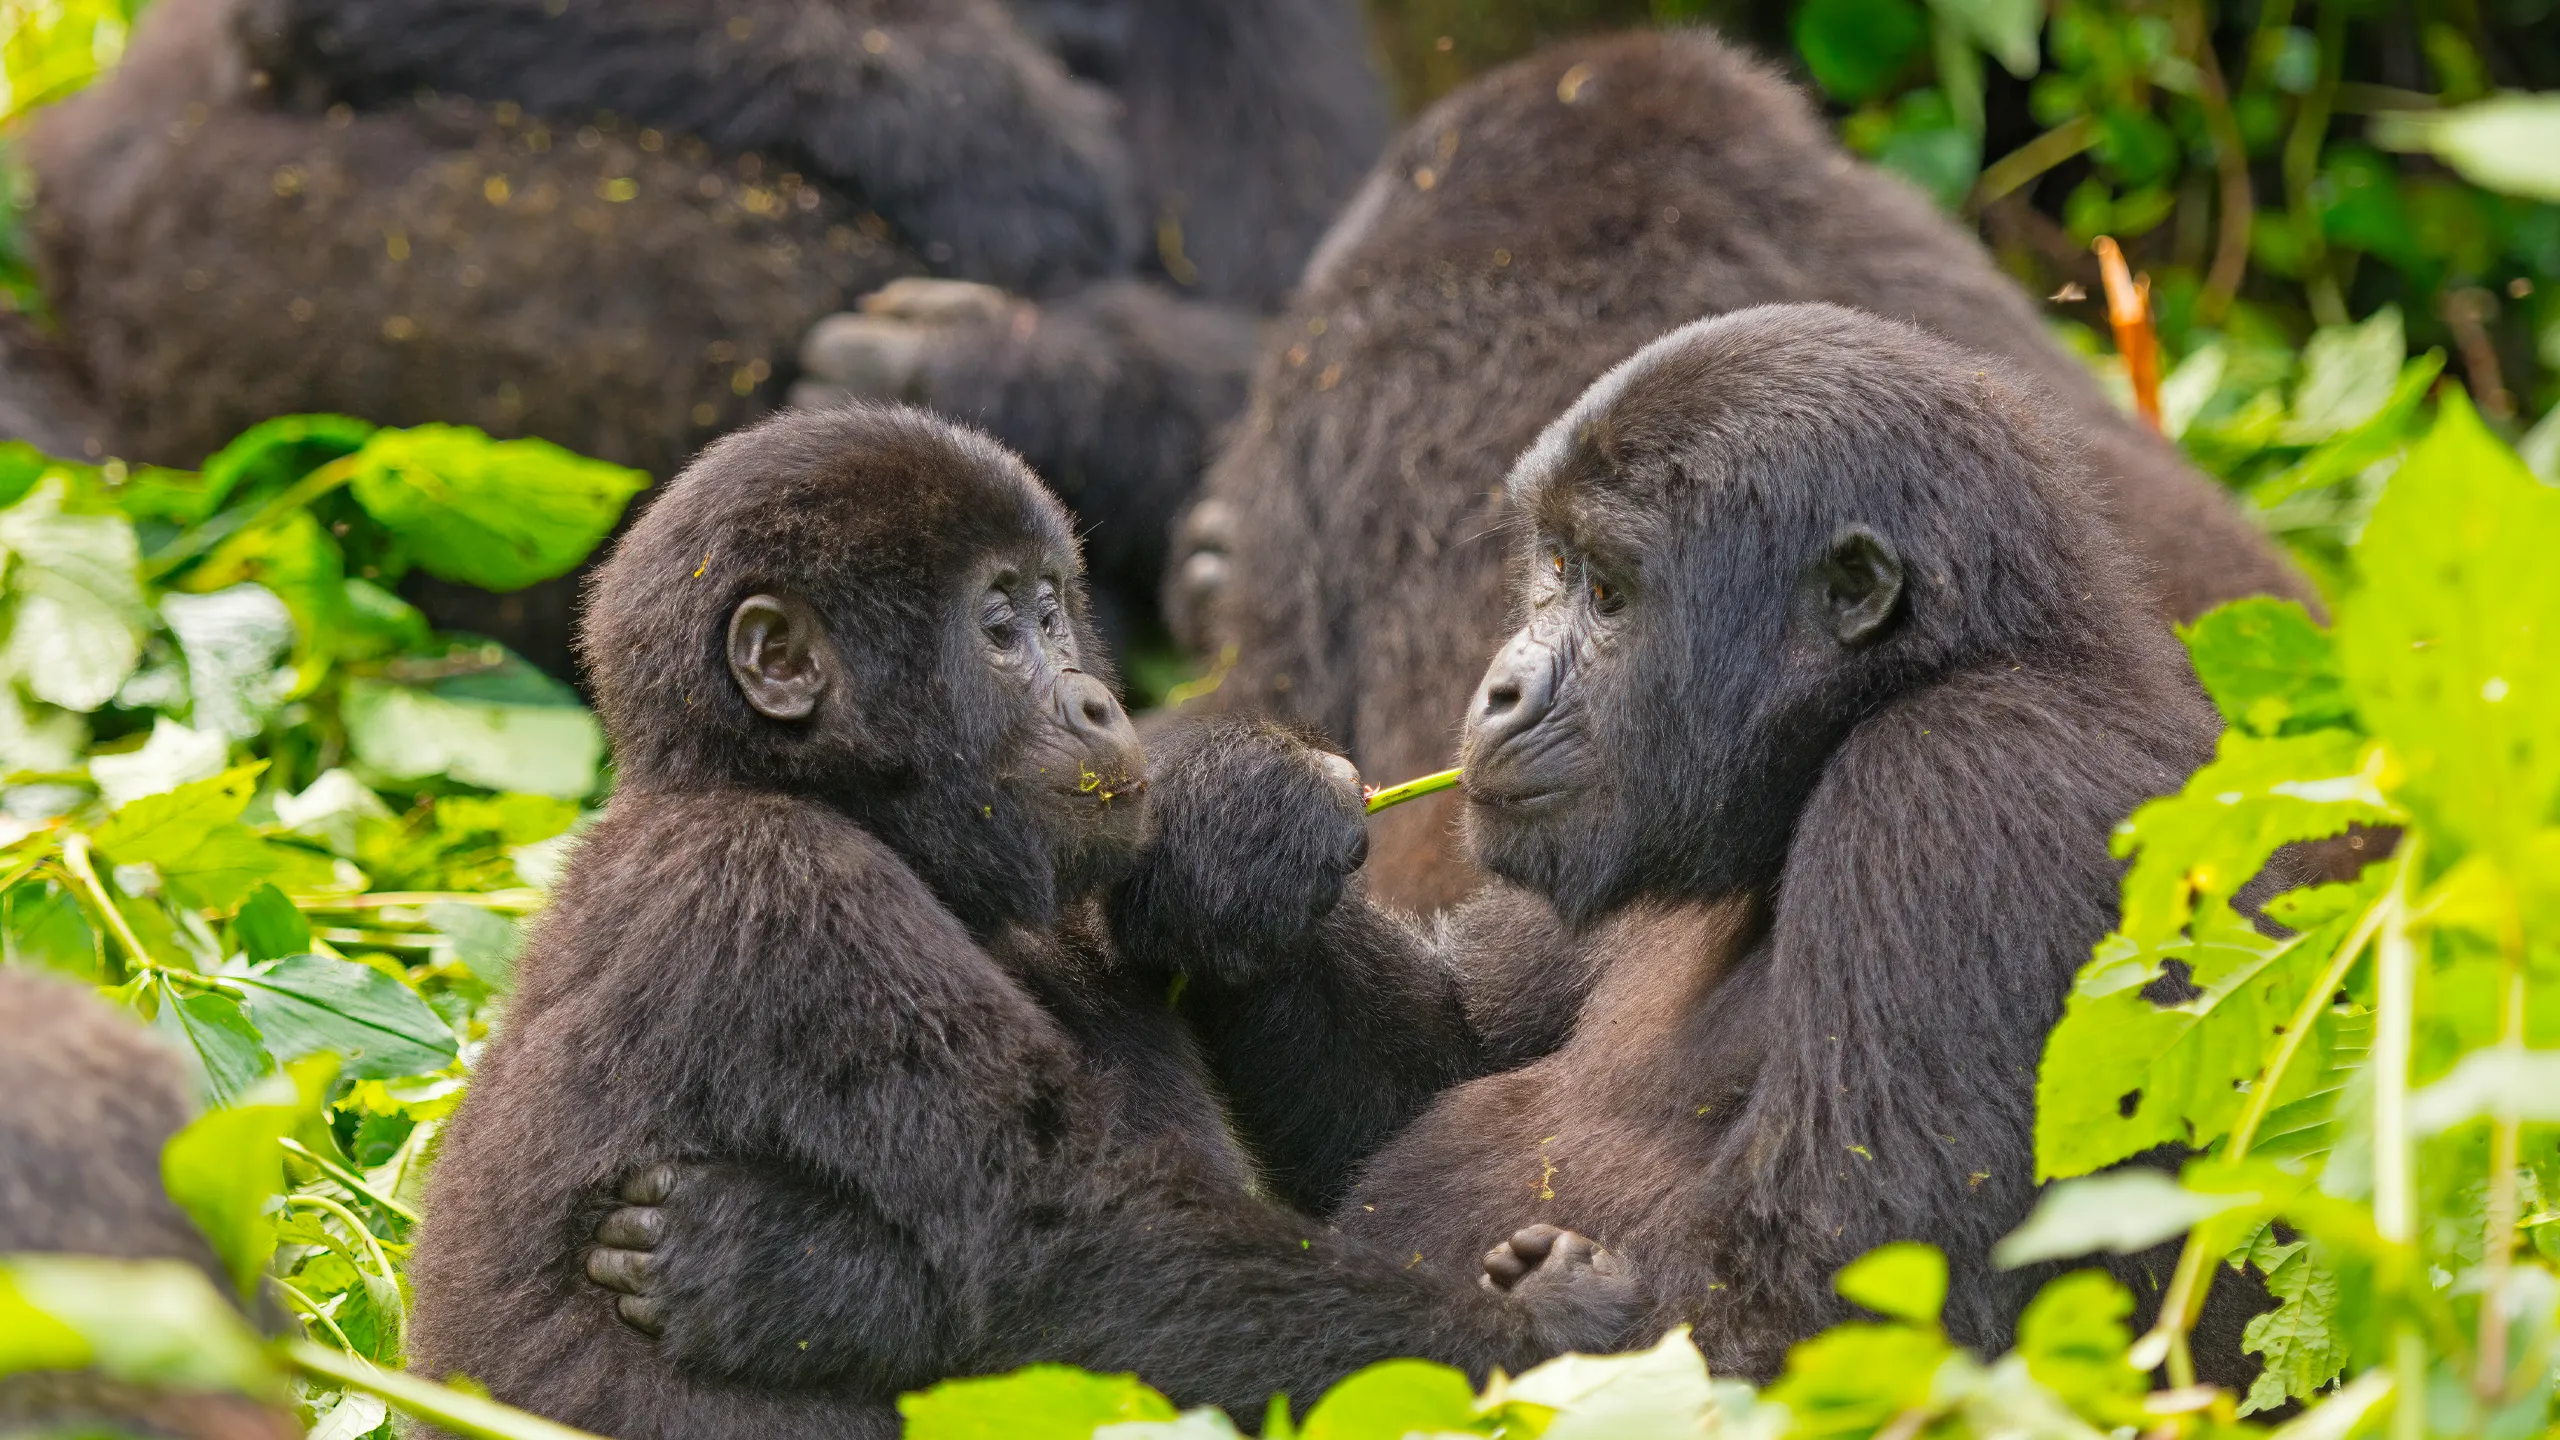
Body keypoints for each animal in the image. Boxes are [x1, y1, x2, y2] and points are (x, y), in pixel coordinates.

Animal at [400, 403, 1642, 1439]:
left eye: (1055, 611)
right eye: (1001, 630)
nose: (1098, 702)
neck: (786, 785)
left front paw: (1242, 830)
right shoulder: (777, 889)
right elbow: (1064, 1251)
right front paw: (1539, 1347)